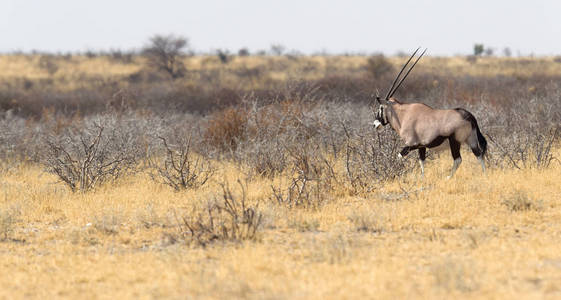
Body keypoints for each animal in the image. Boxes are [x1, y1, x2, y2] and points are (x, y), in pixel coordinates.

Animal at [374, 47, 488, 177]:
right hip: (471, 140)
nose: (375, 124)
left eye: (381, 108)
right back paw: (485, 176)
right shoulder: (421, 146)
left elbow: (399, 156)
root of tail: (469, 116)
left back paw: (448, 177)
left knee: (458, 159)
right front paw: (422, 177)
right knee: (479, 155)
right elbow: (422, 161)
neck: (403, 115)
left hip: (455, 141)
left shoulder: (412, 144)